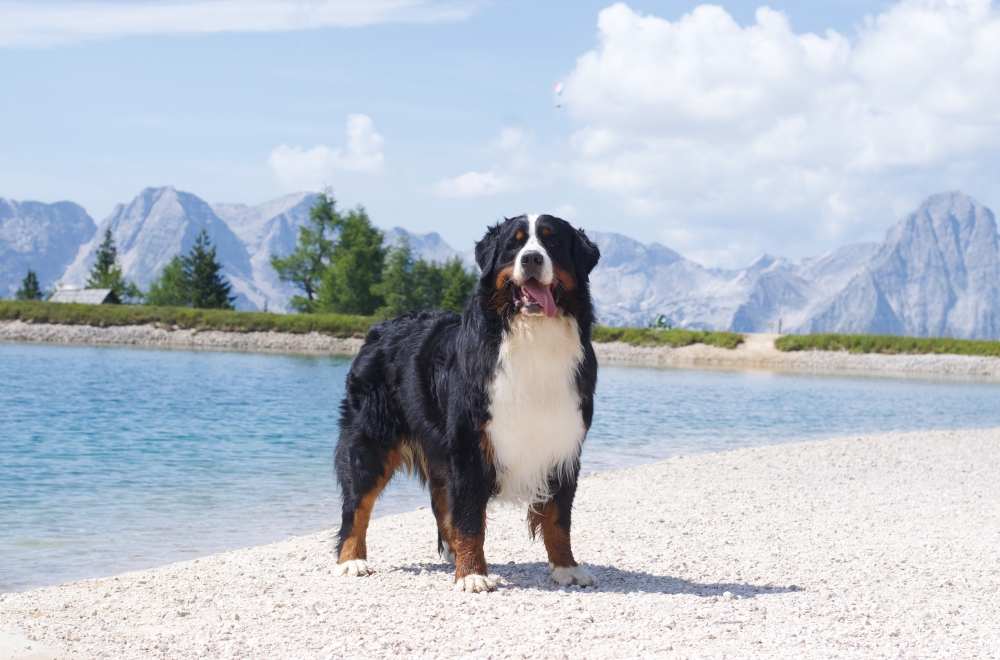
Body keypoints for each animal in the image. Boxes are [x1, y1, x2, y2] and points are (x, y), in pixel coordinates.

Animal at [334, 213, 600, 592]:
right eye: (514, 245)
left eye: (554, 243)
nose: (532, 259)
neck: (532, 337)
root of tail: (381, 328)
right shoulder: (470, 444)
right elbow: (471, 517)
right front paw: (473, 574)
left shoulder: (563, 443)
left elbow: (558, 517)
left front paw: (567, 568)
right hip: (371, 439)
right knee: (357, 502)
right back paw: (351, 560)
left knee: (441, 500)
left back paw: (451, 553)